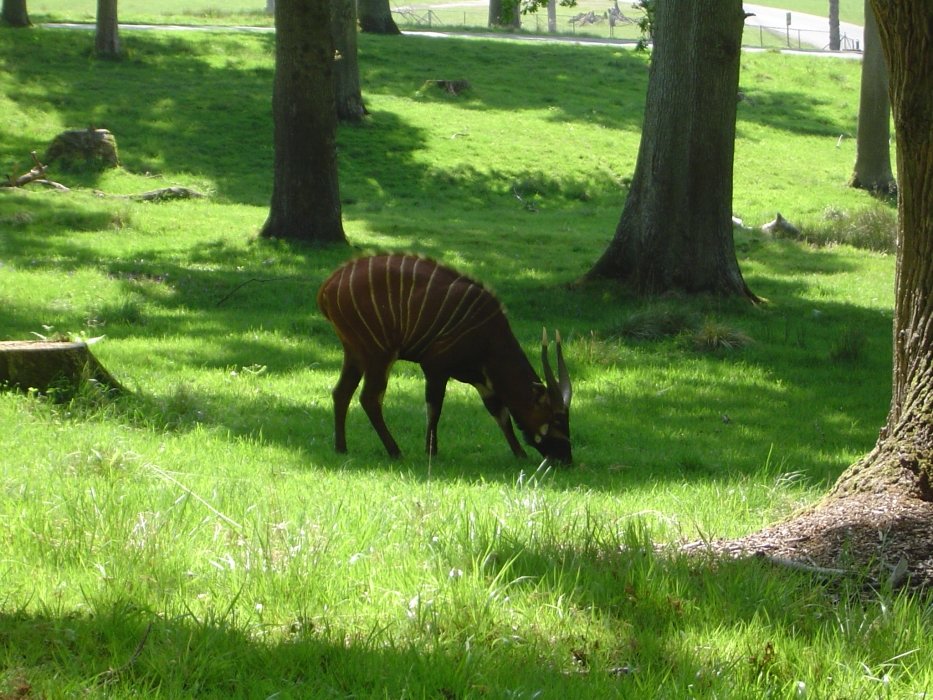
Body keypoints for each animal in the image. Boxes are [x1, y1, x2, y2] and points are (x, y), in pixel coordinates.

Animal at [316, 254, 572, 462]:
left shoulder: (482, 380)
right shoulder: (435, 368)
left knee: (341, 392)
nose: (566, 459)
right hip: (379, 353)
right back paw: (395, 451)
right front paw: (431, 451)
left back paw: (341, 448)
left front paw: (520, 454)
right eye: (557, 420)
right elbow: (434, 408)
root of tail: (329, 283)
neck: (491, 336)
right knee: (369, 397)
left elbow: (500, 414)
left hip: (355, 353)